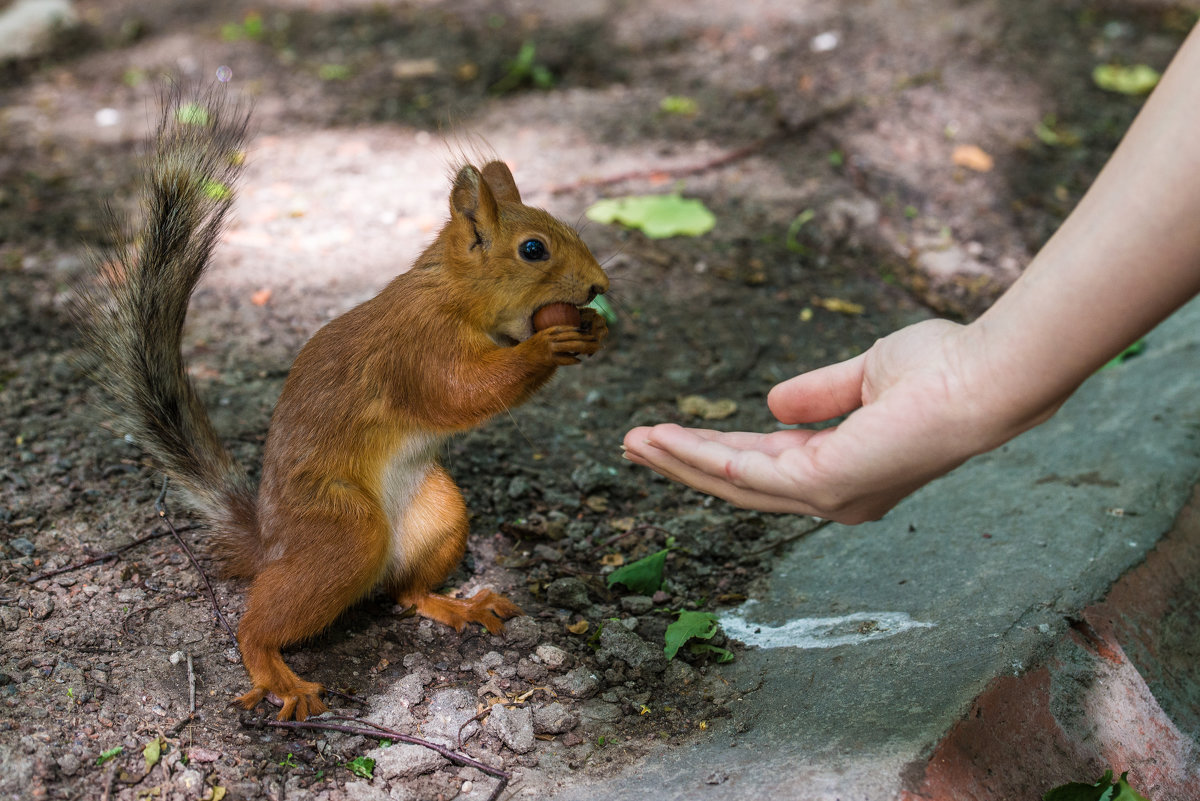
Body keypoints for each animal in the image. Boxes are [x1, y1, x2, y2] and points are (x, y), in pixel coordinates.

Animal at [77, 87, 609, 719]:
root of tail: (268, 545)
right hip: (342, 531)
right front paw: (547, 345)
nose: (600, 287)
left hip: (440, 511)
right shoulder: (419, 350)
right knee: (258, 624)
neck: (452, 294)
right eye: (533, 249)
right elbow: (463, 392)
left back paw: (459, 605)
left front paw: (594, 330)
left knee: (405, 591)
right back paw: (278, 676)